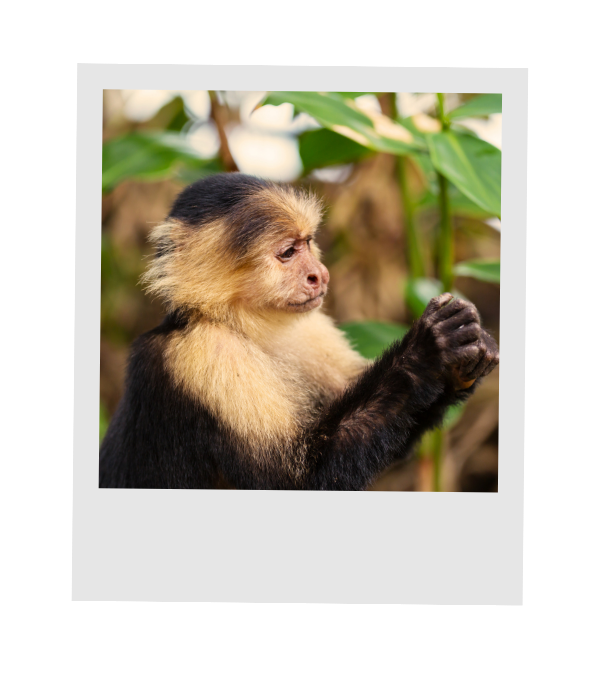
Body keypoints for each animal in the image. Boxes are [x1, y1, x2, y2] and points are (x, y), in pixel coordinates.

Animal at [99, 172, 499, 490]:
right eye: (288, 252)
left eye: (307, 243)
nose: (319, 274)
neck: (243, 325)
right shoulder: (205, 353)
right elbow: (295, 479)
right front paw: (429, 350)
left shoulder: (311, 327)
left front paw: (465, 358)